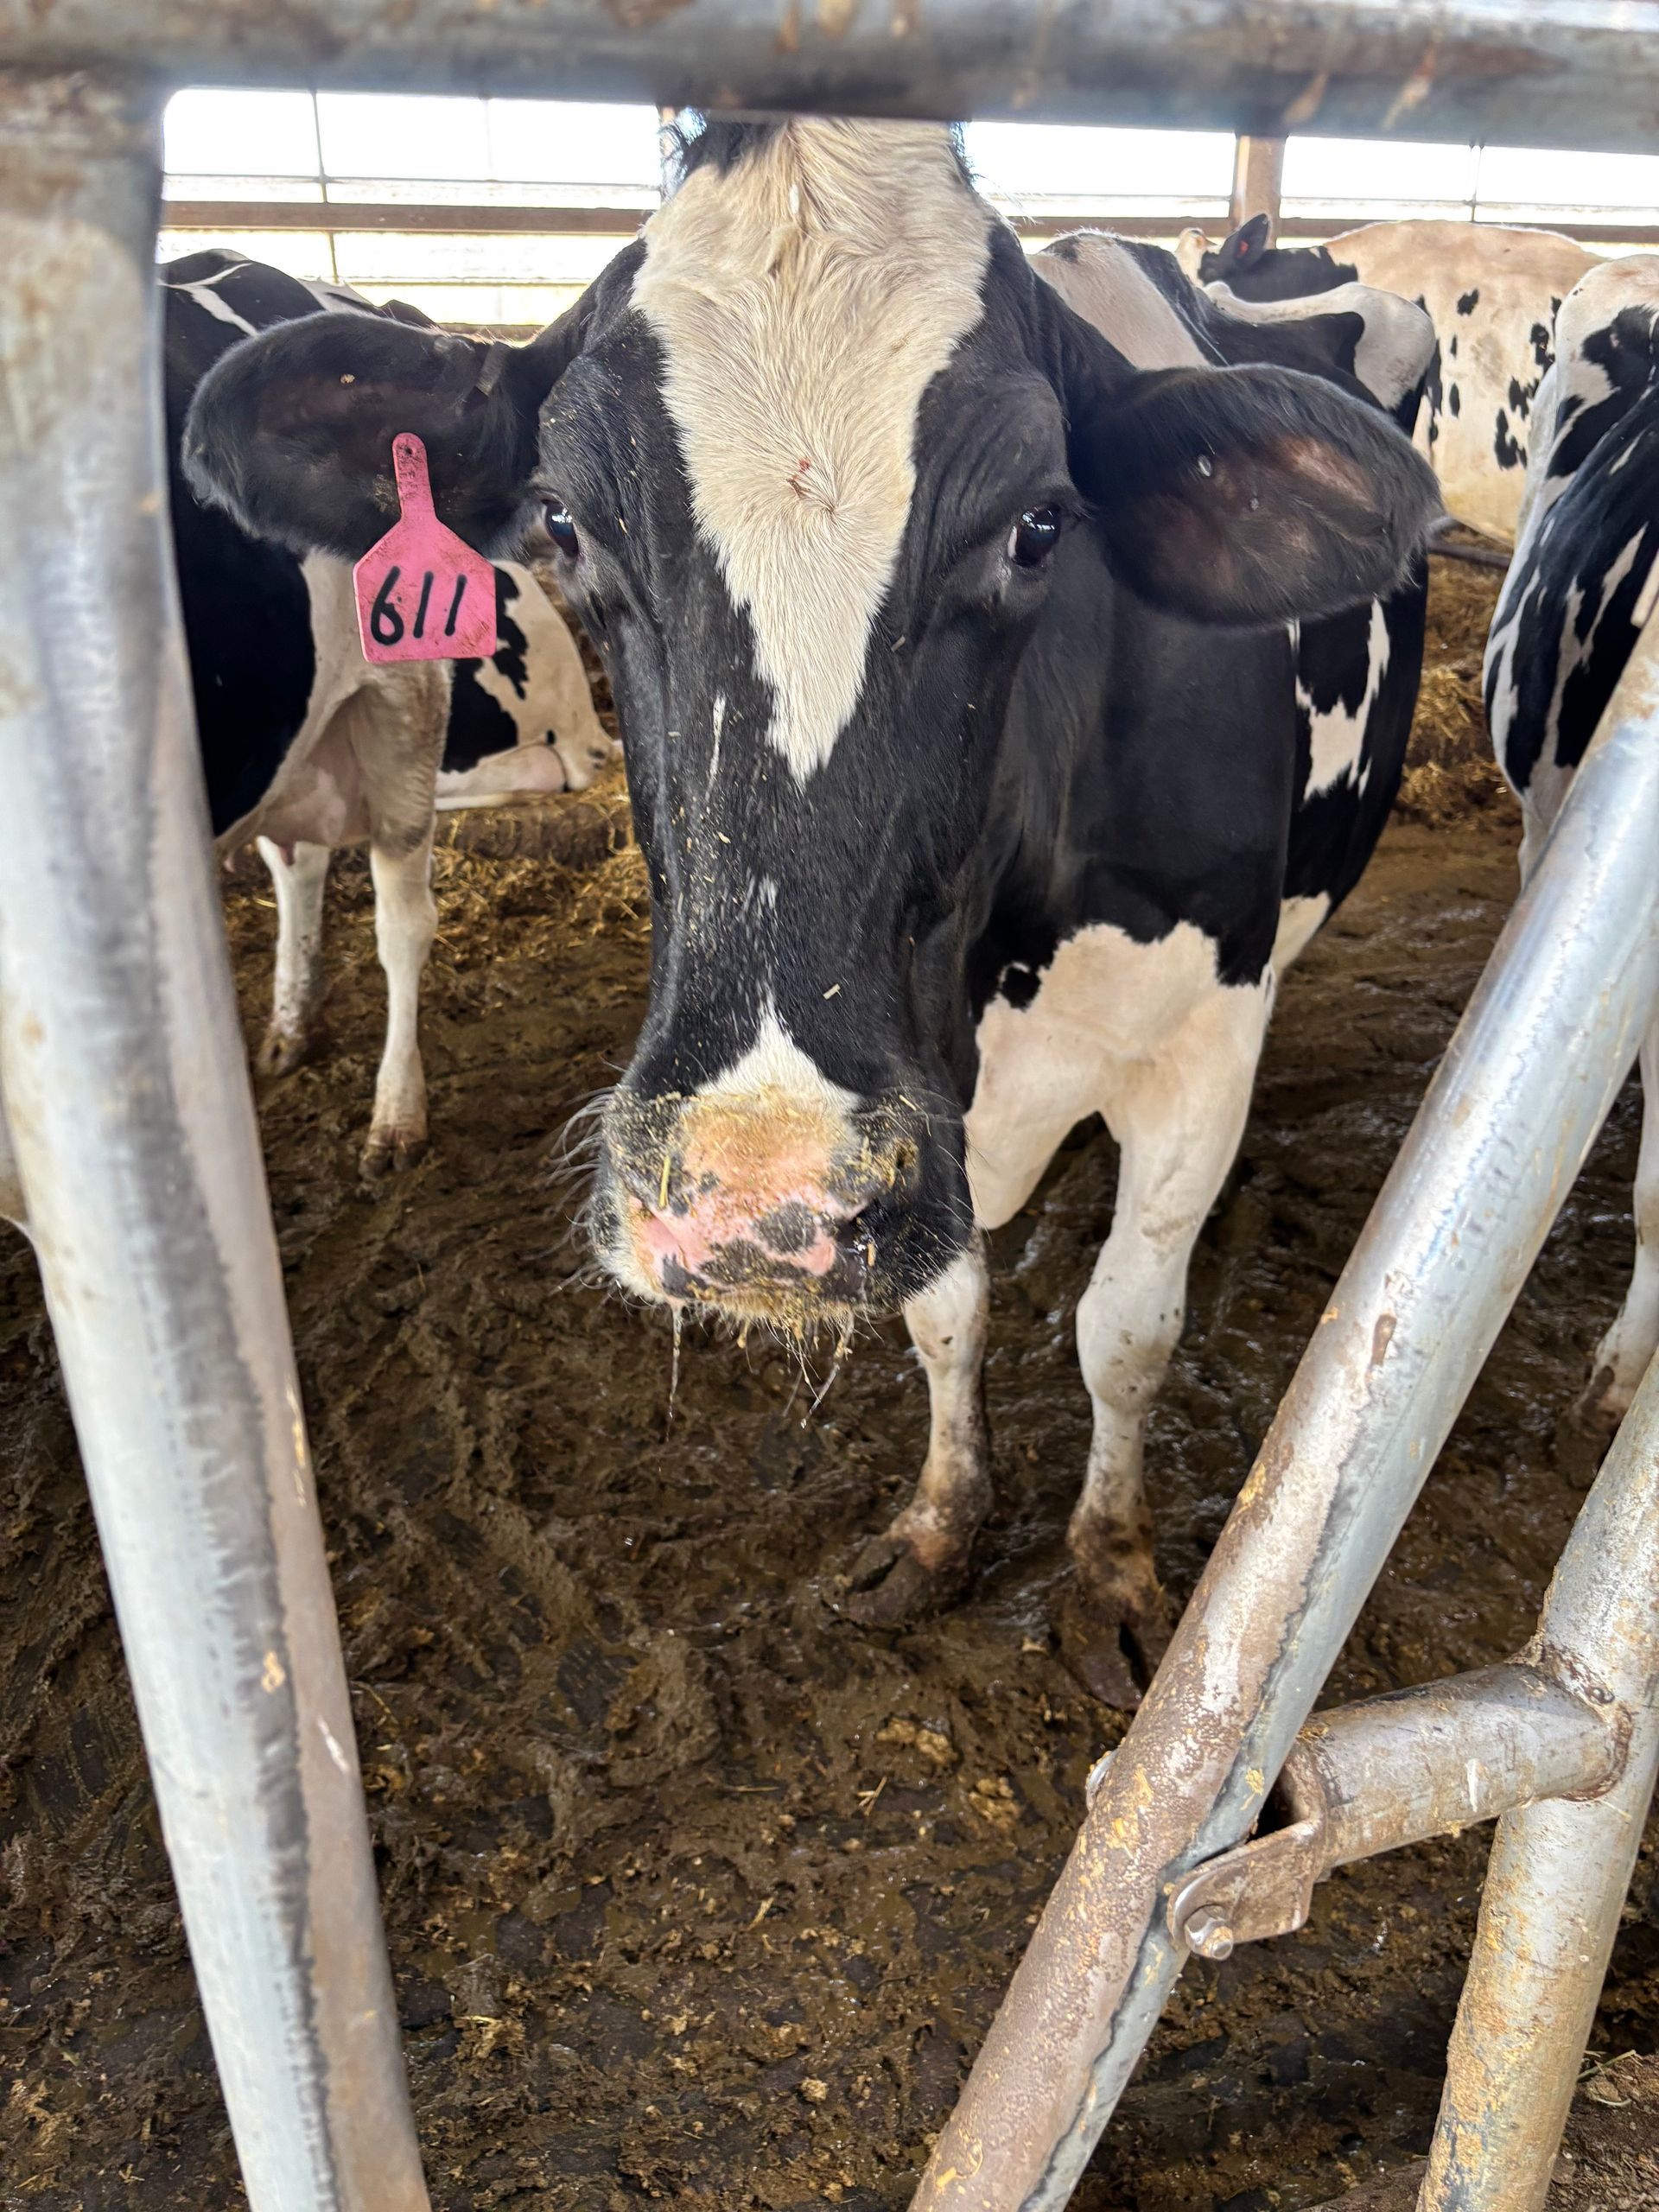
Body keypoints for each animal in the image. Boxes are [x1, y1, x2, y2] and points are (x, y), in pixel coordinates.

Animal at [179, 118, 1437, 1704]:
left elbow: (1127, 1331)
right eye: (564, 525)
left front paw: (1107, 1571)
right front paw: (942, 1522)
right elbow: (946, 1307)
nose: (755, 1197)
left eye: (1040, 528)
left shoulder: (1200, 1036)